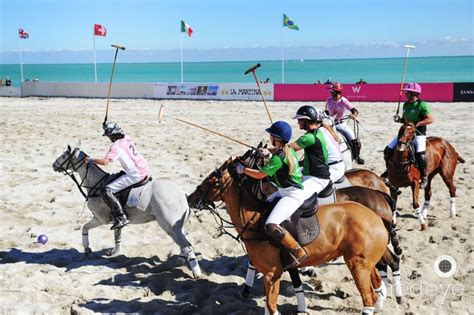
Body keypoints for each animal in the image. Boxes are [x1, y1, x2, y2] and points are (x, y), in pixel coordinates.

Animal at [53, 143, 202, 278]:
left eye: (64, 155)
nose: (54, 165)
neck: (96, 184)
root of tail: (183, 195)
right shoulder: (116, 220)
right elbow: (116, 235)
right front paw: (114, 252)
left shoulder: (101, 218)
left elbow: (85, 227)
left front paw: (87, 249)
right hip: (177, 226)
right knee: (185, 243)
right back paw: (181, 261)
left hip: (169, 226)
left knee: (187, 245)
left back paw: (197, 273)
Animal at [192, 157, 388, 314]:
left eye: (212, 180)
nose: (190, 198)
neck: (254, 219)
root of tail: (378, 217)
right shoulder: (279, 269)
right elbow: (277, 298)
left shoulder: (271, 273)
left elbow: (271, 306)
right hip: (365, 263)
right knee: (377, 281)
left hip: (357, 265)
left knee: (368, 298)